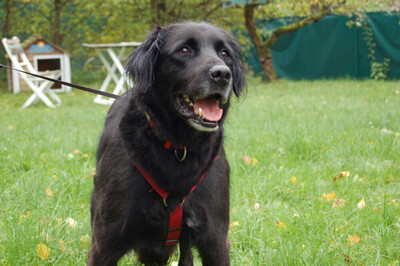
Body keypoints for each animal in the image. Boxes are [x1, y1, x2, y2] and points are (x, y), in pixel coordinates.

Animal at [88, 21, 244, 264]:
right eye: (184, 50)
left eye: (224, 53)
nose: (222, 74)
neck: (178, 147)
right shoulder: (104, 243)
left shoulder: (216, 240)